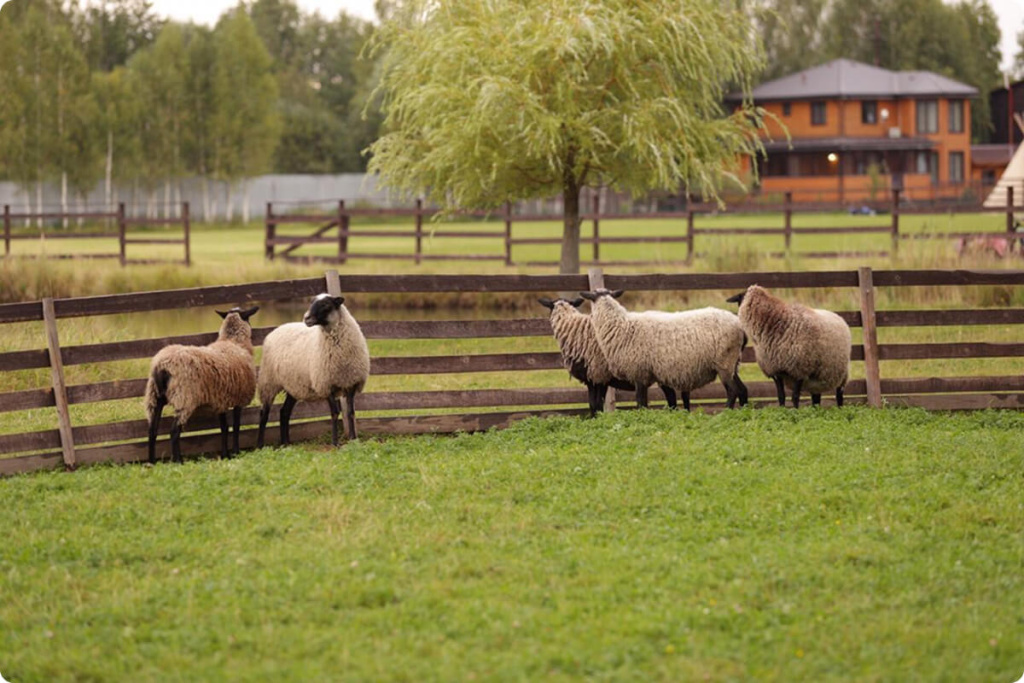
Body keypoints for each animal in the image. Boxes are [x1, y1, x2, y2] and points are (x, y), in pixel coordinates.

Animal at [145, 306, 259, 464]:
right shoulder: (239, 398)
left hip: (155, 397)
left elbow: (224, 427)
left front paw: (225, 455)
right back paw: (178, 461)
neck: (234, 342)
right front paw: (235, 452)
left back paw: (152, 462)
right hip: (184, 398)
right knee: (174, 431)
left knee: (152, 431)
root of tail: (161, 366)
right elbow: (236, 426)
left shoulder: (221, 399)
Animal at [256, 293, 370, 448]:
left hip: (293, 385)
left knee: (284, 412)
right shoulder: (326, 384)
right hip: (268, 382)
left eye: (326, 305)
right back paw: (260, 445)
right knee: (264, 413)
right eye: (311, 302)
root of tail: (277, 328)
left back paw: (286, 443)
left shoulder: (351, 383)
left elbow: (350, 412)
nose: (306, 318)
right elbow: (335, 413)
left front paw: (353, 440)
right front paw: (335, 443)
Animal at [580, 289, 748, 411]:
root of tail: (739, 325)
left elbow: (641, 403)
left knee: (733, 390)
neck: (622, 326)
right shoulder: (658, 374)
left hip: (724, 362)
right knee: (743, 389)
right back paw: (744, 412)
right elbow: (669, 400)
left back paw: (726, 412)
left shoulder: (639, 372)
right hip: (733, 363)